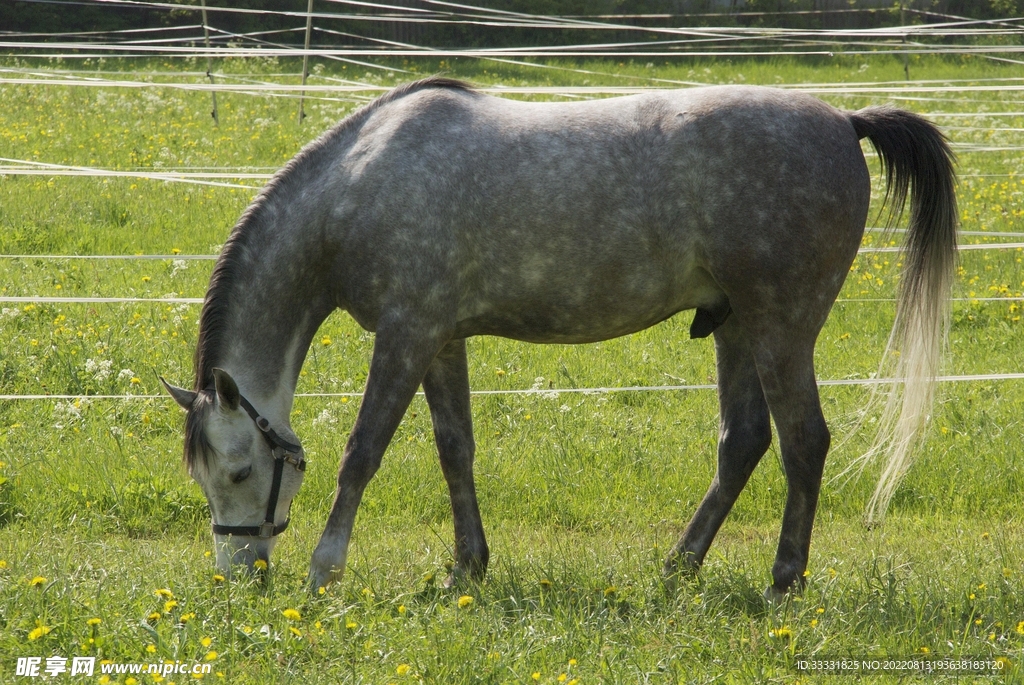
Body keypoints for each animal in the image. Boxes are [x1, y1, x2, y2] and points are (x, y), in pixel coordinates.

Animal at [161, 76, 957, 597]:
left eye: (239, 472)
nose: (239, 577)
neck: (359, 184)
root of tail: (844, 119)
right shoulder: (440, 339)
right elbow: (455, 449)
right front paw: (467, 568)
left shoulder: (406, 332)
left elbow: (363, 453)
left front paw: (326, 571)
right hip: (734, 325)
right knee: (744, 443)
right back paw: (677, 569)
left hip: (780, 326)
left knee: (803, 442)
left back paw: (782, 583)